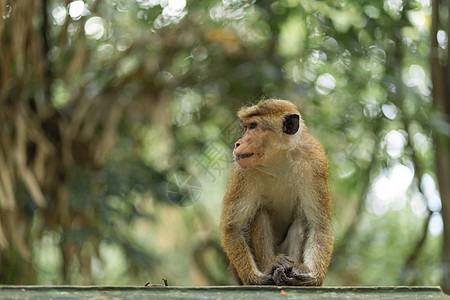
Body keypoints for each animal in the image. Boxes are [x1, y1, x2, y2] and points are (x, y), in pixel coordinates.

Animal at [220, 98, 332, 286]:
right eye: (246, 127)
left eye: (253, 126)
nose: (238, 143)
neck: (278, 159)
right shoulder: (243, 171)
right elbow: (232, 228)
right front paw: (258, 277)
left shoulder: (315, 162)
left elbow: (319, 226)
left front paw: (311, 278)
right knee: (259, 213)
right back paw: (273, 267)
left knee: (301, 218)